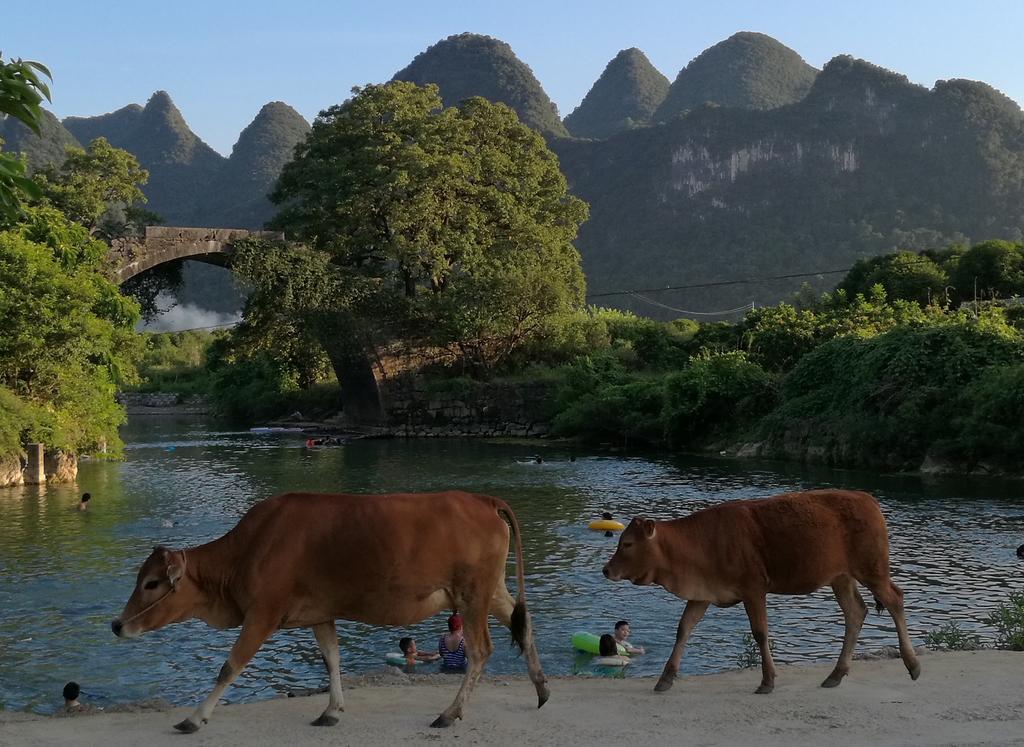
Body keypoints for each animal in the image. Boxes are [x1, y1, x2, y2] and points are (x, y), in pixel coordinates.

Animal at [110, 489, 552, 729]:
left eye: (152, 583)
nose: (117, 625)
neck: (248, 550)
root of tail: (482, 499)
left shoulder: (262, 614)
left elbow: (229, 666)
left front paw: (195, 718)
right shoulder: (321, 614)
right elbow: (332, 661)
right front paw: (332, 710)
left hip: (472, 594)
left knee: (480, 651)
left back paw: (449, 713)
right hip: (491, 591)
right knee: (524, 625)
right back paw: (542, 689)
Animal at [598, 489, 921, 692]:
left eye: (627, 544)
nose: (606, 570)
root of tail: (867, 498)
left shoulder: (754, 588)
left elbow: (760, 633)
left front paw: (767, 681)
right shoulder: (703, 593)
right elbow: (684, 629)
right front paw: (665, 679)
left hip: (872, 569)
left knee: (895, 600)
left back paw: (913, 664)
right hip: (840, 577)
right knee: (856, 612)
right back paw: (836, 674)